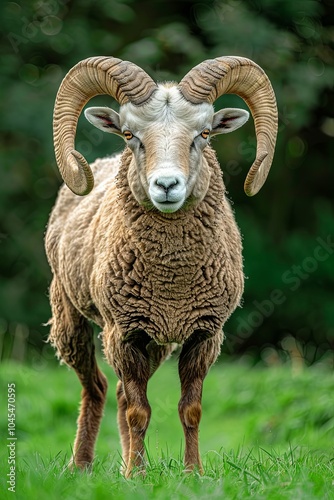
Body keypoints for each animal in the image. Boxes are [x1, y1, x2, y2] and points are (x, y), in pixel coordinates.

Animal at [45, 56, 278, 474]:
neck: (172, 282)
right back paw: (83, 467)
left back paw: (121, 460)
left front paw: (192, 473)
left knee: (118, 392)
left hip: (156, 341)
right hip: (72, 318)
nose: (167, 185)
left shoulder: (204, 334)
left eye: (204, 133)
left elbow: (190, 410)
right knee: (97, 388)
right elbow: (139, 411)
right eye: (128, 134)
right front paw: (136, 476)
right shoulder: (123, 333)